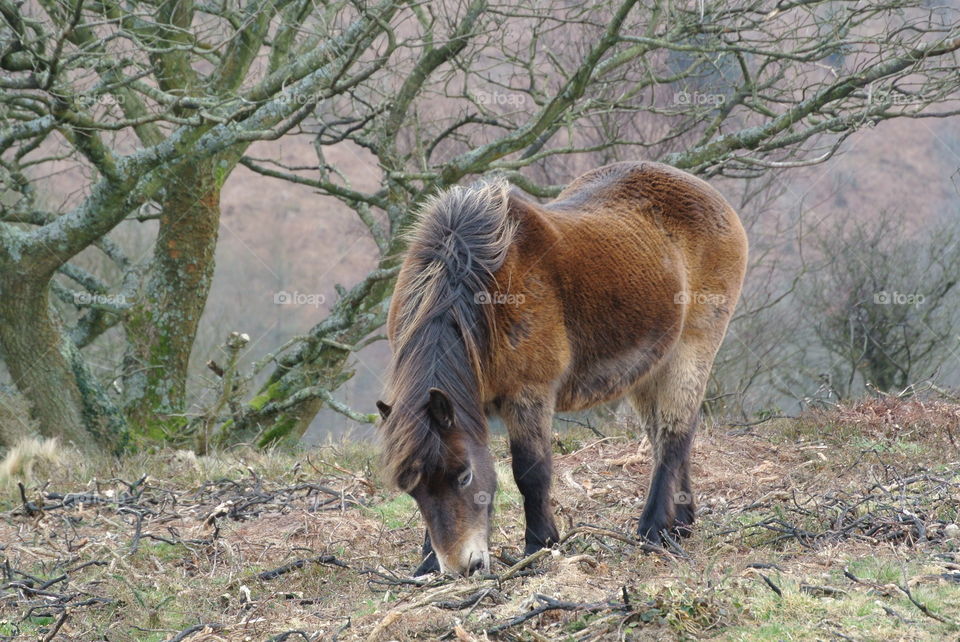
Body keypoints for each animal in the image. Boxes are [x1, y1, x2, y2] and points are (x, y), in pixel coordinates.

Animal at [376, 161, 748, 576]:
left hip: (691, 349)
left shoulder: (529, 394)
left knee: (673, 435)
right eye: (412, 488)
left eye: (464, 475)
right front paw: (426, 563)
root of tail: (705, 192)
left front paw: (540, 545)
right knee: (664, 436)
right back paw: (679, 524)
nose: (462, 567)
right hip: (649, 368)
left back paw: (652, 529)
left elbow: (530, 471)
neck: (481, 294)